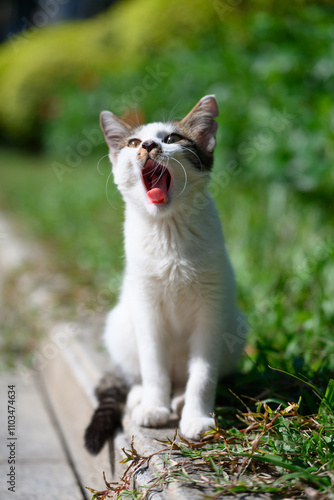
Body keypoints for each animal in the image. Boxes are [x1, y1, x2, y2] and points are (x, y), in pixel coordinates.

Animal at [83, 95, 245, 456]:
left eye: (171, 138)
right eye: (132, 143)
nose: (148, 145)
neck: (168, 230)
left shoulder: (212, 309)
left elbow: (203, 373)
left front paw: (197, 418)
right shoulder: (145, 306)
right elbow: (153, 365)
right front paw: (154, 407)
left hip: (236, 323)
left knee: (186, 377)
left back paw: (181, 398)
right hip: (120, 323)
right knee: (140, 373)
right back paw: (143, 396)